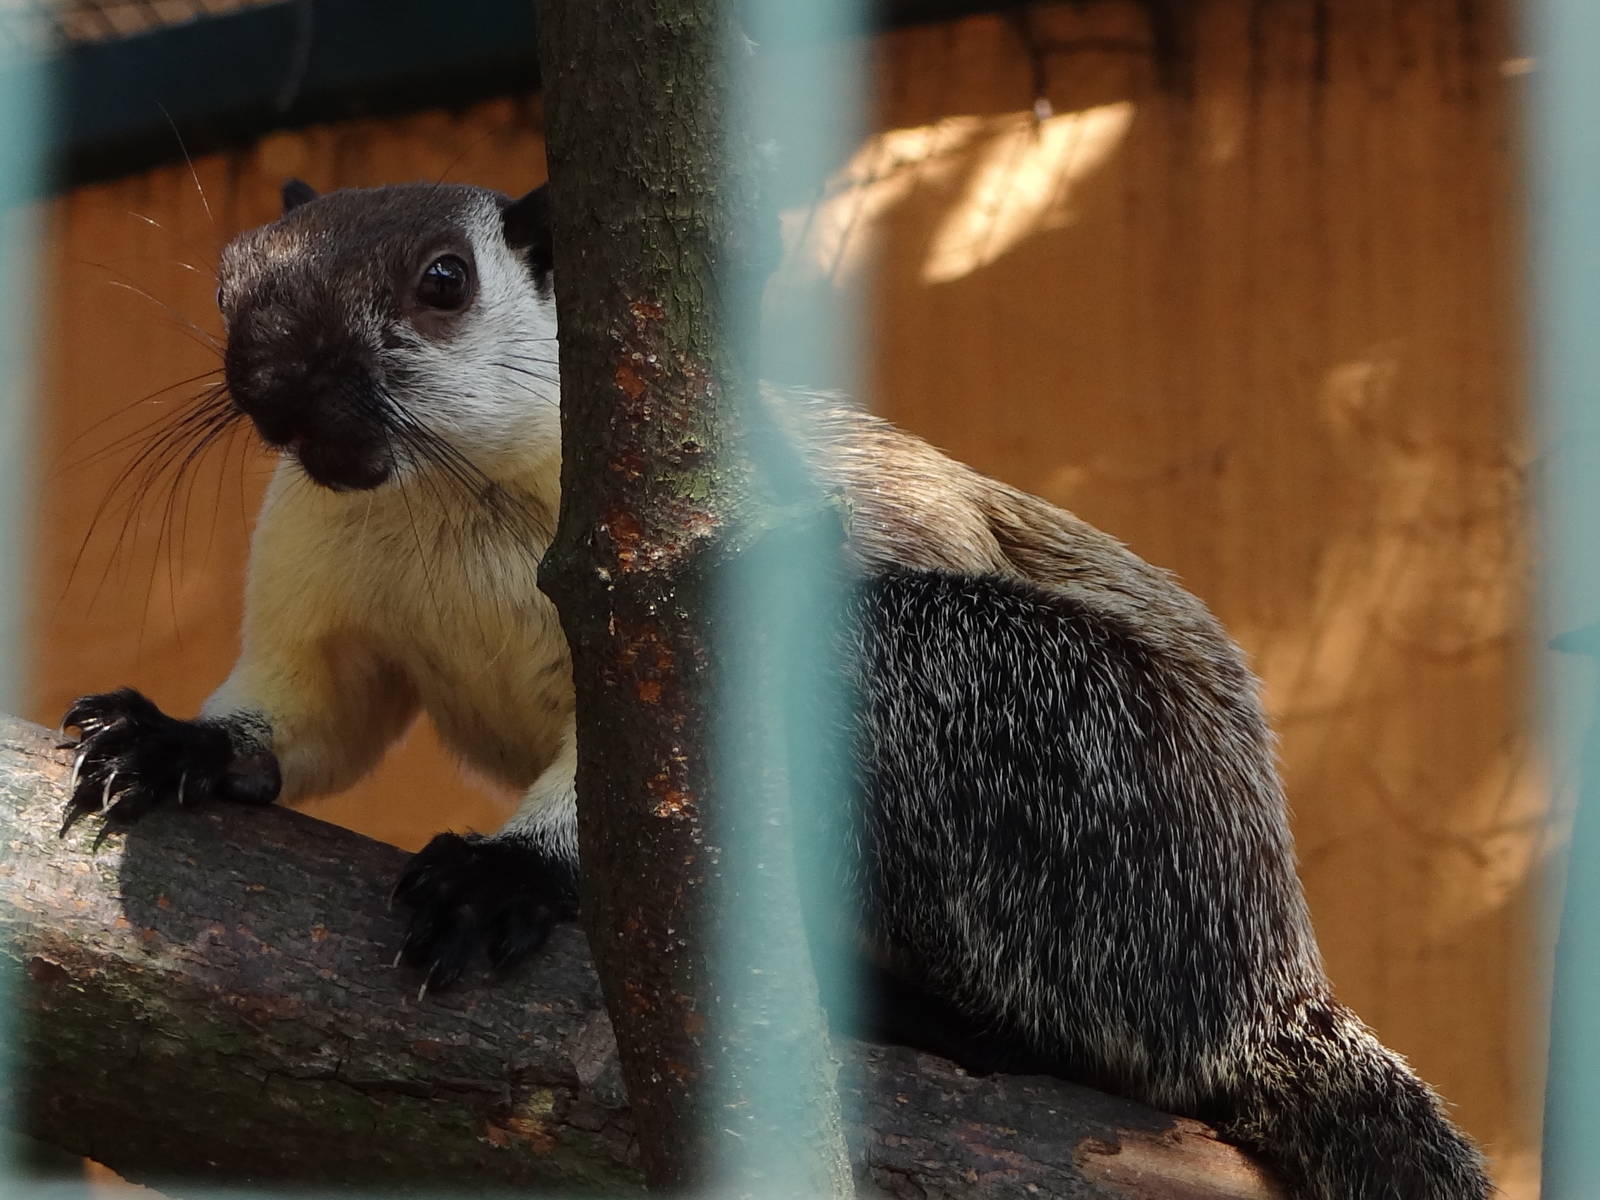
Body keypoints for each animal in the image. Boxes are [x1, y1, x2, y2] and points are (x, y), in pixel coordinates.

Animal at [60, 179, 1491, 1199]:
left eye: (442, 282)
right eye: (235, 280)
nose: (272, 383)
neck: (444, 508)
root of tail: (1274, 988)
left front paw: (502, 874)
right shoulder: (319, 604)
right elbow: (300, 722)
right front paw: (171, 742)